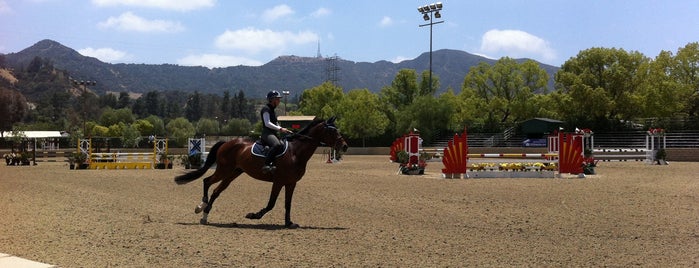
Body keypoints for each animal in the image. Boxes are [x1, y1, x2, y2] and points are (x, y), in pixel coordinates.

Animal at [174, 117, 348, 228]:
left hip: (233, 173)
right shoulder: (278, 182)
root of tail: (227, 143)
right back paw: (201, 206)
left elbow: (288, 204)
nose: (345, 146)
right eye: (332, 132)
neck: (295, 152)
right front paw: (253, 215)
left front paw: (289, 223)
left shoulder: (291, 183)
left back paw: (205, 215)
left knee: (216, 190)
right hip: (224, 170)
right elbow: (271, 204)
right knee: (207, 181)